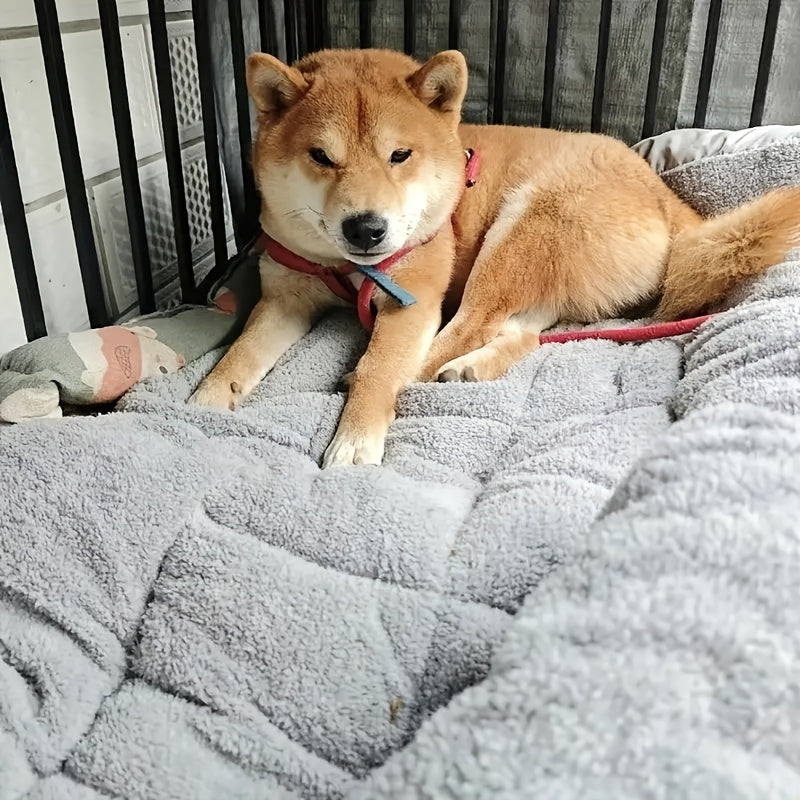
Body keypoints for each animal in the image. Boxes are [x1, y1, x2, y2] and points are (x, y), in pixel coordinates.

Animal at [191, 45, 800, 468]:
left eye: (399, 155)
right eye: (321, 157)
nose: (366, 228)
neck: (350, 268)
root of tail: (668, 198)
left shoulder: (412, 300)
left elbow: (379, 368)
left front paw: (356, 437)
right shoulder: (284, 298)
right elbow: (237, 360)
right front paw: (200, 404)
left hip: (522, 225)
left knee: (470, 322)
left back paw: (410, 369)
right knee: (520, 332)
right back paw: (471, 368)